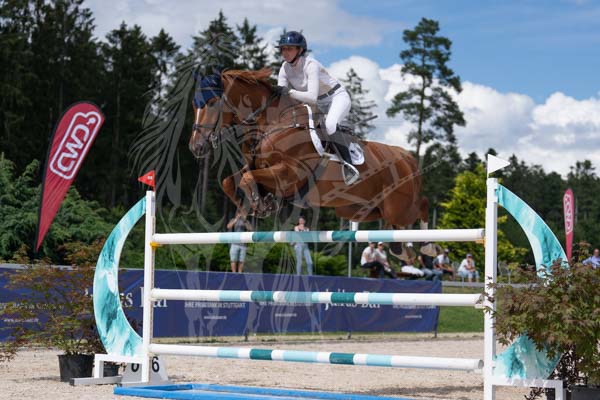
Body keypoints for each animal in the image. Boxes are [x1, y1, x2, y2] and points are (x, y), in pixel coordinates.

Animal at [189, 68, 429, 231]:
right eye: (194, 105)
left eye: (212, 102)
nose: (195, 146)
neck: (271, 123)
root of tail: (407, 158)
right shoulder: (257, 168)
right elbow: (230, 181)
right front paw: (249, 211)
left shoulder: (290, 173)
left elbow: (247, 179)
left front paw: (259, 205)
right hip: (358, 208)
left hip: (398, 209)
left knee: (420, 209)